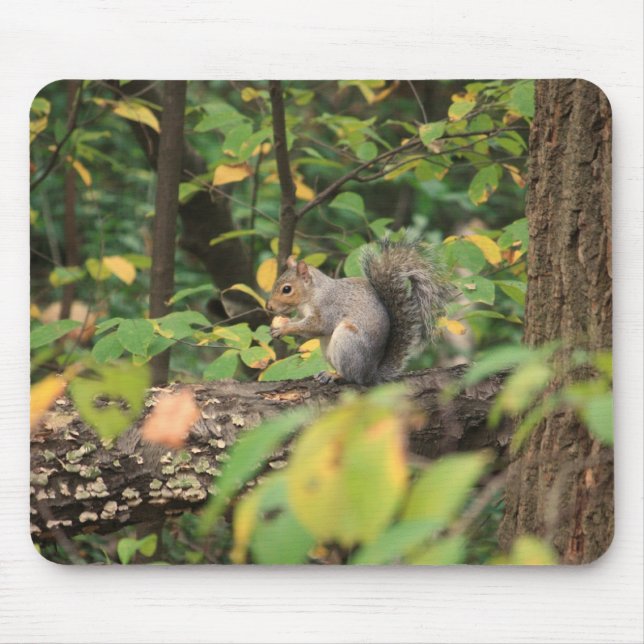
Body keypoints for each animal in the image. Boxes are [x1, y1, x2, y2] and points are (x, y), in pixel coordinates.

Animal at [267, 236, 451, 385]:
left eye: (287, 289)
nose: (269, 307)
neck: (311, 295)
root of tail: (370, 374)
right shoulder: (302, 313)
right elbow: (298, 320)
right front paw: (279, 324)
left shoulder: (328, 309)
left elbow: (317, 327)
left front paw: (284, 329)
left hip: (347, 341)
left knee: (352, 377)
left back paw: (336, 375)